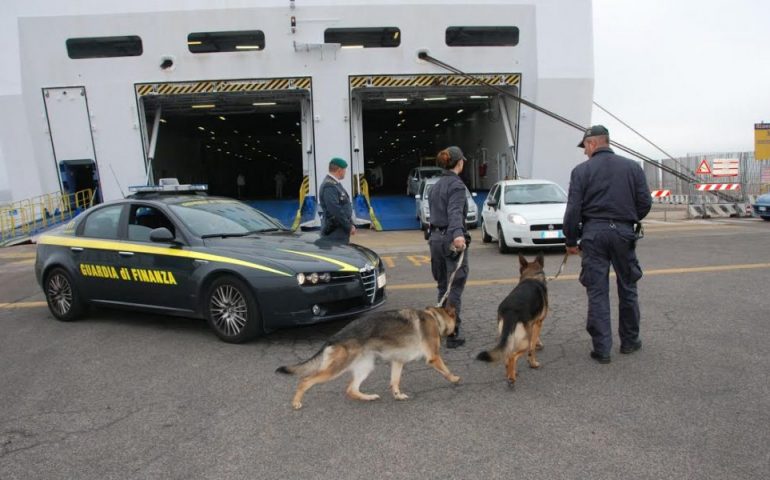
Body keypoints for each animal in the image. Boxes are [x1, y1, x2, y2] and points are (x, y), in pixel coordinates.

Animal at [274, 306, 460, 410]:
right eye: (456, 322)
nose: (457, 333)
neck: (435, 317)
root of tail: (333, 337)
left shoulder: (397, 361)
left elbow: (395, 381)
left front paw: (398, 395)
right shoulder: (434, 357)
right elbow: (446, 370)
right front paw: (455, 378)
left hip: (366, 366)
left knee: (351, 389)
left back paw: (369, 397)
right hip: (336, 368)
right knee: (305, 380)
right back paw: (296, 402)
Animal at [474, 253, 544, 388]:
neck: (532, 276)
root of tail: (510, 310)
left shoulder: (533, 323)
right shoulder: (538, 322)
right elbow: (532, 347)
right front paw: (533, 359)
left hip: (506, 336)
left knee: (506, 355)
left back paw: (510, 374)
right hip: (524, 341)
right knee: (512, 356)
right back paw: (513, 377)